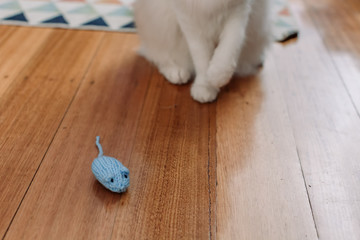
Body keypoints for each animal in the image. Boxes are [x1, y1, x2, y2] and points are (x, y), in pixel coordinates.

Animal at [134, 0, 272, 102]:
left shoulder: (238, 11)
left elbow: (229, 49)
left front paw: (216, 77)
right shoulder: (188, 19)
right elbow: (202, 58)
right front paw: (205, 86)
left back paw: (259, 59)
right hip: (159, 26)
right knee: (157, 55)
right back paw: (177, 73)